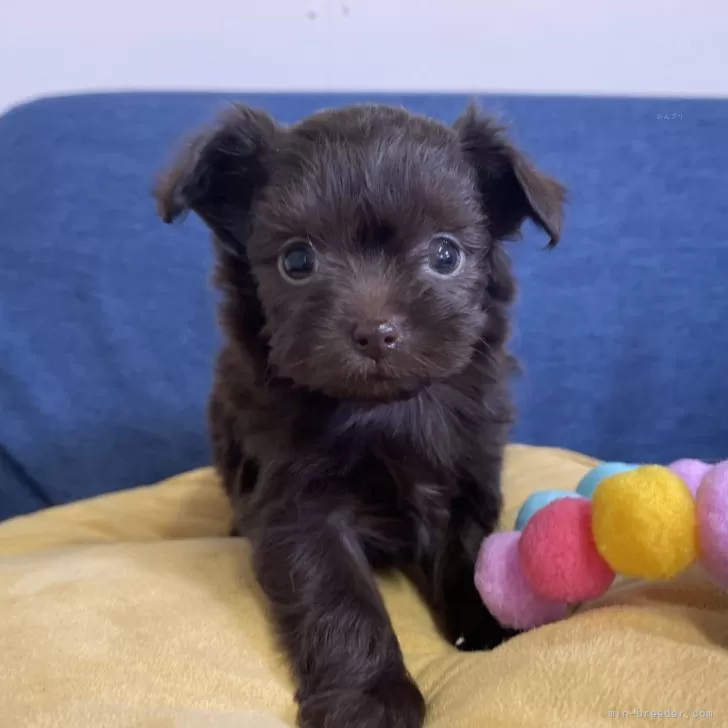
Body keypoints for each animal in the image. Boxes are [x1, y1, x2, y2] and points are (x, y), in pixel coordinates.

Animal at [152, 104, 564, 728]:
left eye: (446, 255)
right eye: (297, 261)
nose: (376, 332)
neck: (383, 412)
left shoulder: (466, 471)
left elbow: (471, 552)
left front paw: (491, 625)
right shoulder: (299, 506)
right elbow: (338, 595)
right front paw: (369, 698)